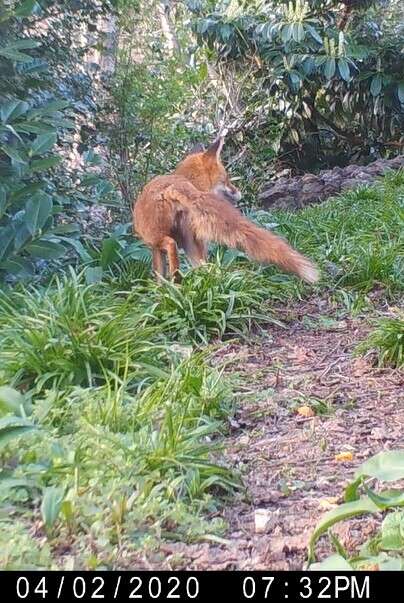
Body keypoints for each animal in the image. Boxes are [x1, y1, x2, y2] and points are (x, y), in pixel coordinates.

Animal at [133, 138, 318, 284]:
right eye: (227, 179)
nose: (239, 192)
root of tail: (173, 186)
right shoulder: (186, 244)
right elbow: (160, 277)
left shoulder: (153, 246)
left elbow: (159, 277)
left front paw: (161, 292)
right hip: (189, 243)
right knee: (205, 267)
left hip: (163, 239)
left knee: (171, 244)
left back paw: (177, 281)